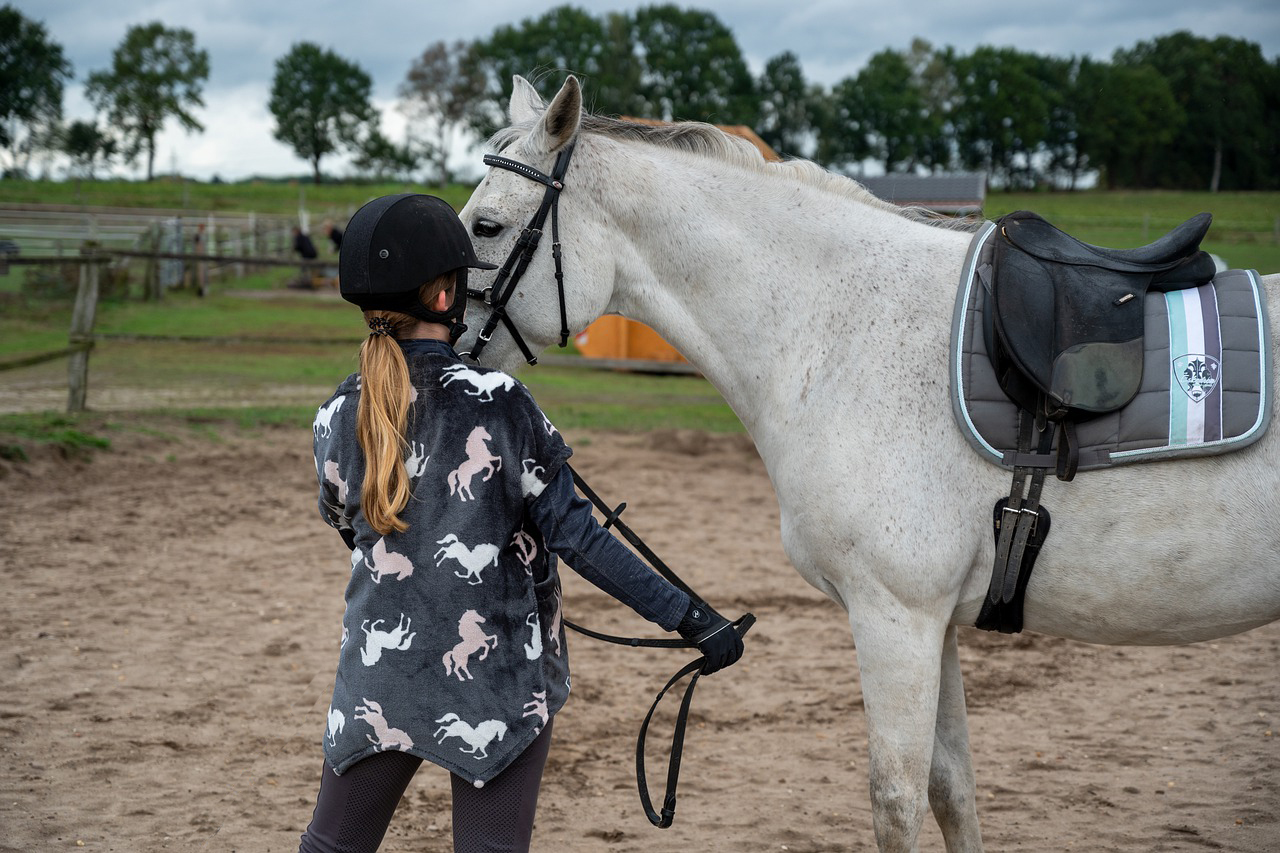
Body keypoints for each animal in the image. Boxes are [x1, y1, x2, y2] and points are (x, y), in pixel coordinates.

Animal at [458, 76, 1280, 845]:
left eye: (486, 226)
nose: (432, 334)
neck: (840, 331)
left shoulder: (896, 616)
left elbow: (898, 800)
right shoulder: (935, 622)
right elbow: (953, 790)